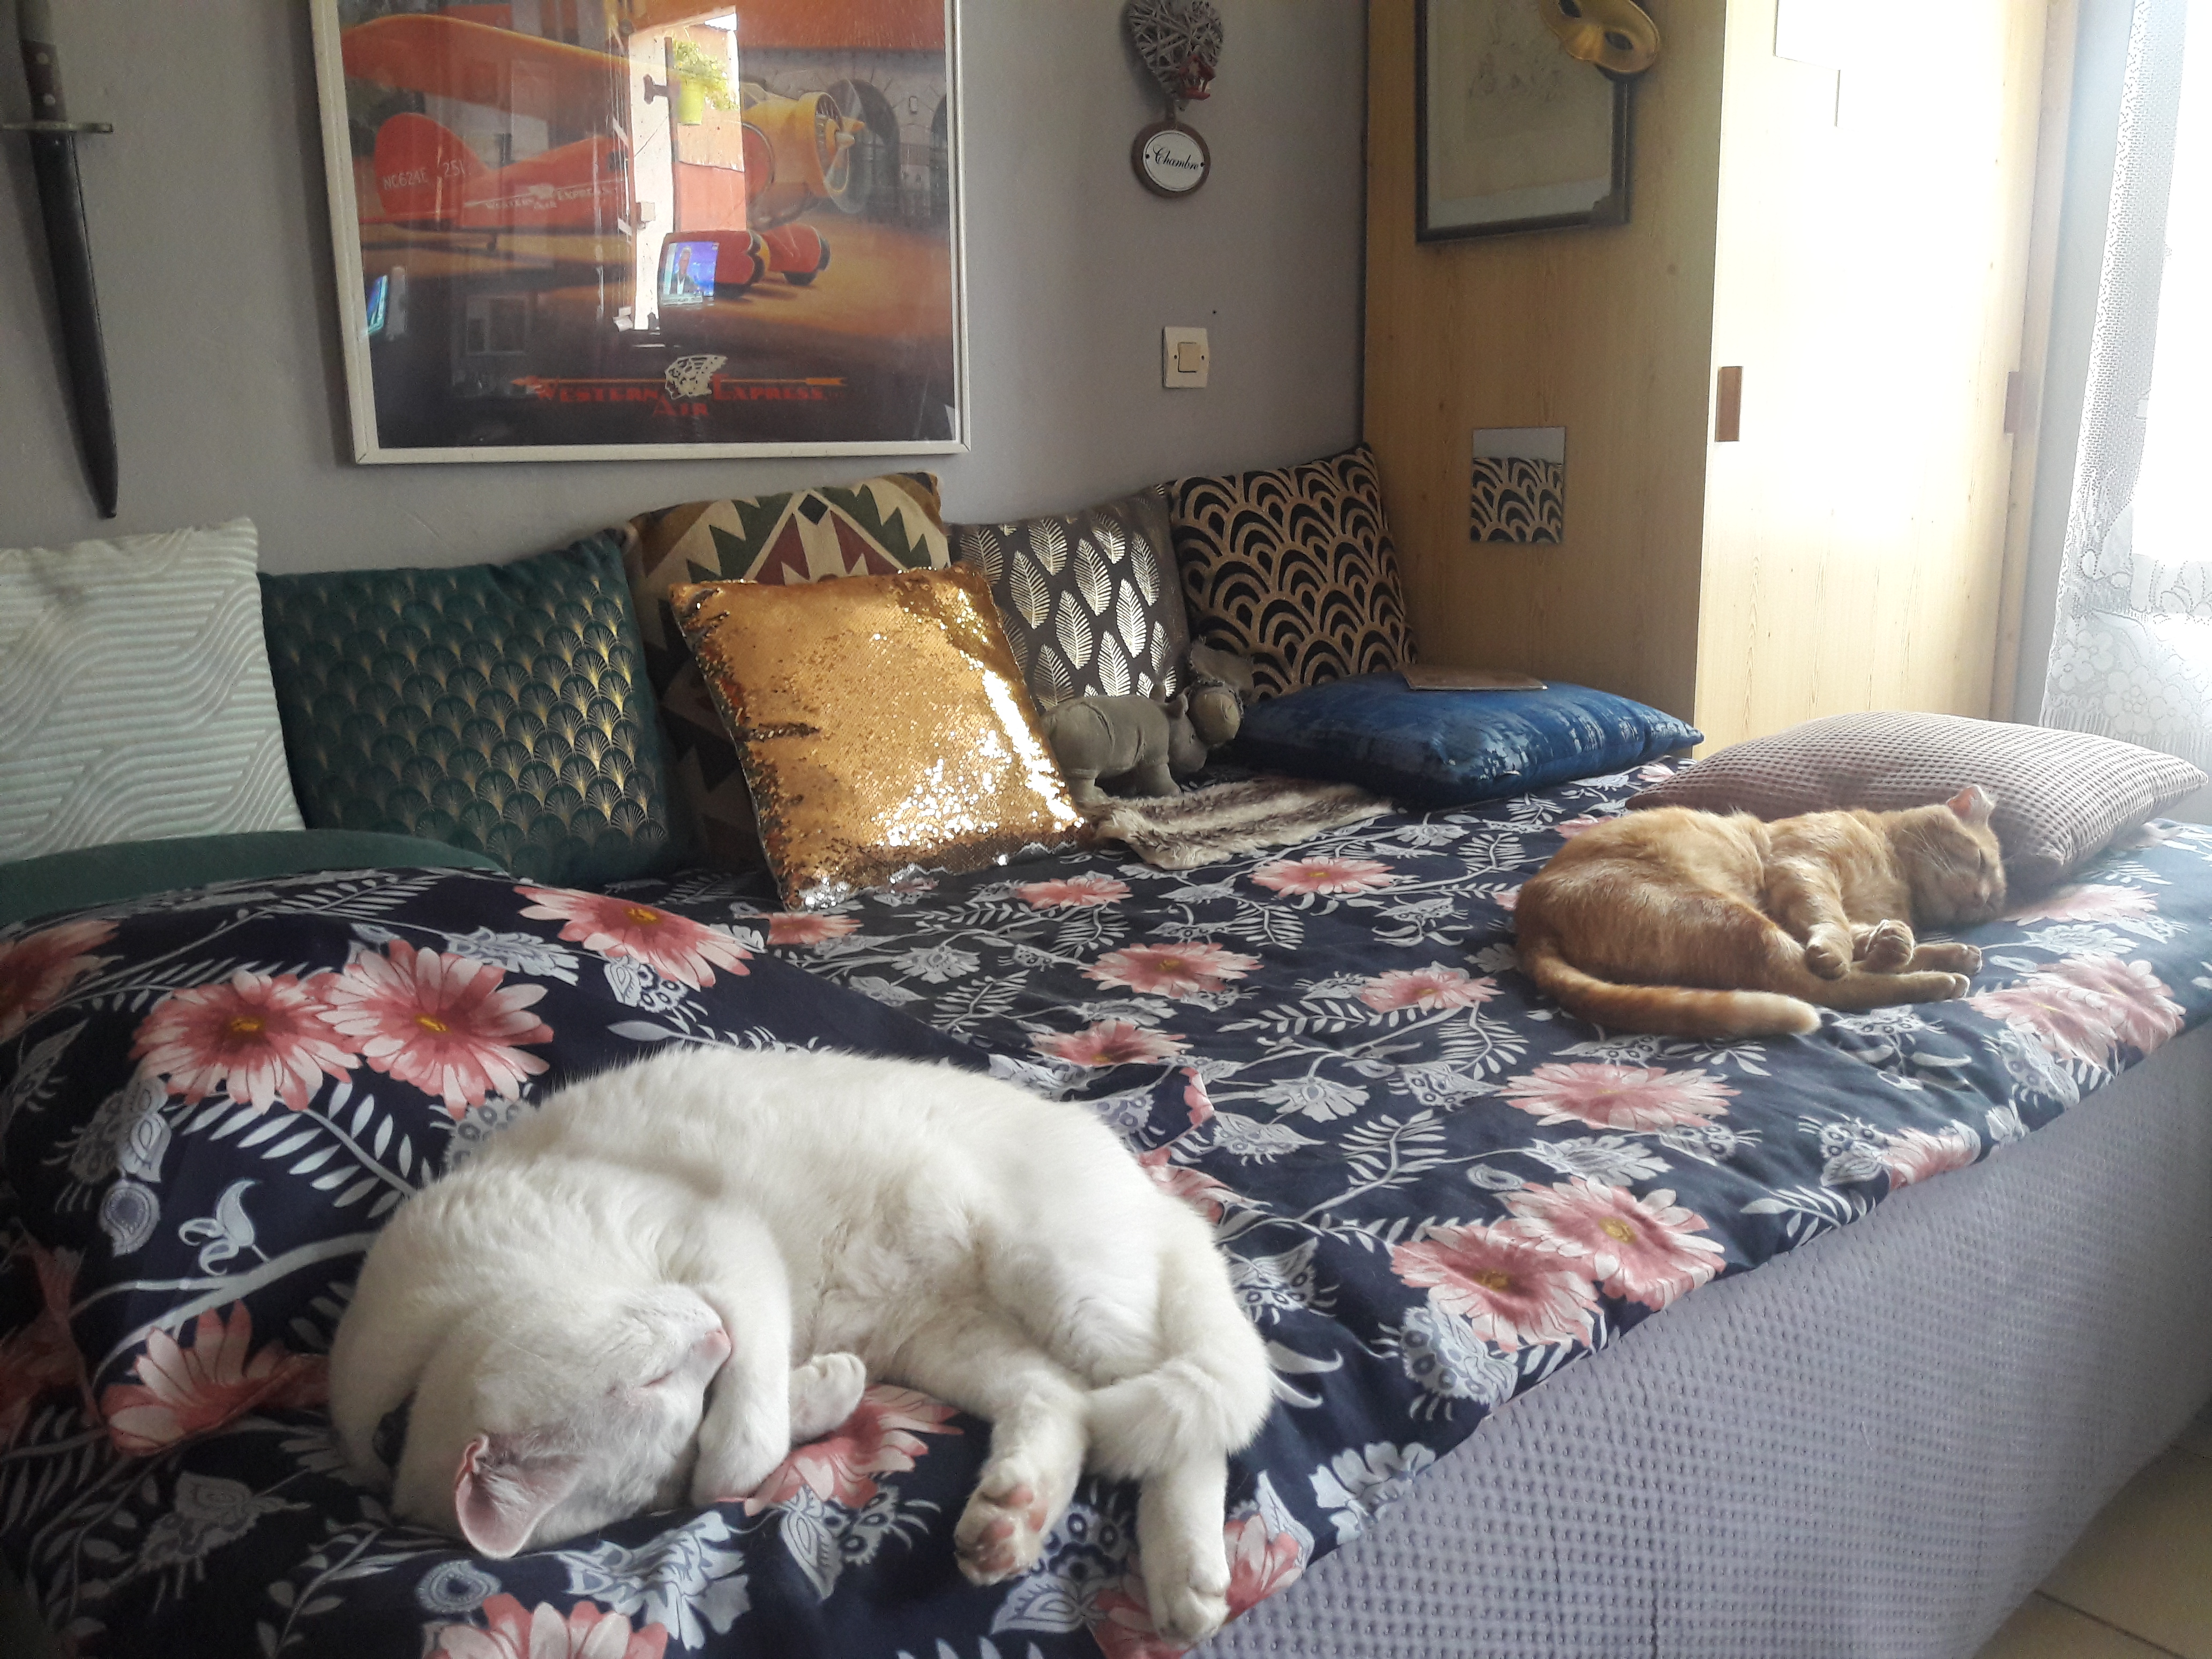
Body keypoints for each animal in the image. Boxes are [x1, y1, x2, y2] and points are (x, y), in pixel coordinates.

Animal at [328, 1046, 1274, 1647]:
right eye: (665, 1391)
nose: (710, 1335)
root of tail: (1159, 1198)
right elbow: (734, 1451)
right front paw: (824, 1390)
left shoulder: (721, 1243)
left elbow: (739, 1453)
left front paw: (788, 1401)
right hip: (955, 1342)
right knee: (1065, 1405)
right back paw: (1011, 1520)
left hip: (1064, 1284)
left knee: (1195, 1428)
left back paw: (1187, 1576)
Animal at [1514, 785, 2006, 1040]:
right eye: (1980, 860)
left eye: (1994, 903)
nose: (1982, 900)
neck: (1896, 874)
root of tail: (1529, 920)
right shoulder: (1803, 866)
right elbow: (1833, 924)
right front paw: (1861, 946)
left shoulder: (1830, 908)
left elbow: (1860, 932)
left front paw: (1931, 944)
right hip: (1729, 916)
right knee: (1818, 985)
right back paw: (1937, 979)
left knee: (1847, 974)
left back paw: (1930, 958)